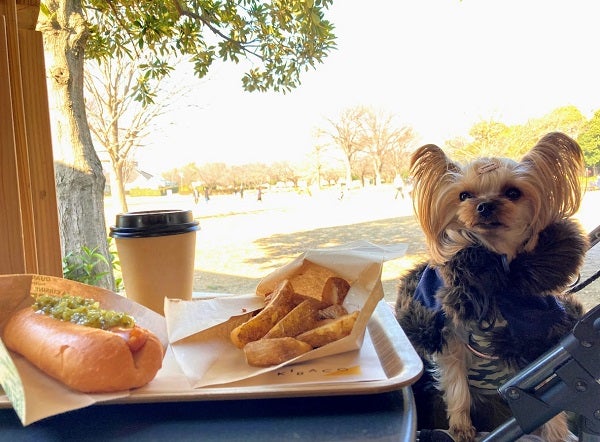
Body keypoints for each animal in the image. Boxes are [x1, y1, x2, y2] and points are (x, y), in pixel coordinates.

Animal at [396, 132, 588, 442]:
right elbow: (456, 384)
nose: (484, 205)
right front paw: (461, 427)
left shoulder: (534, 337)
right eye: (464, 195)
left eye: (513, 193)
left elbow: (547, 392)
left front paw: (558, 434)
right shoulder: (450, 333)